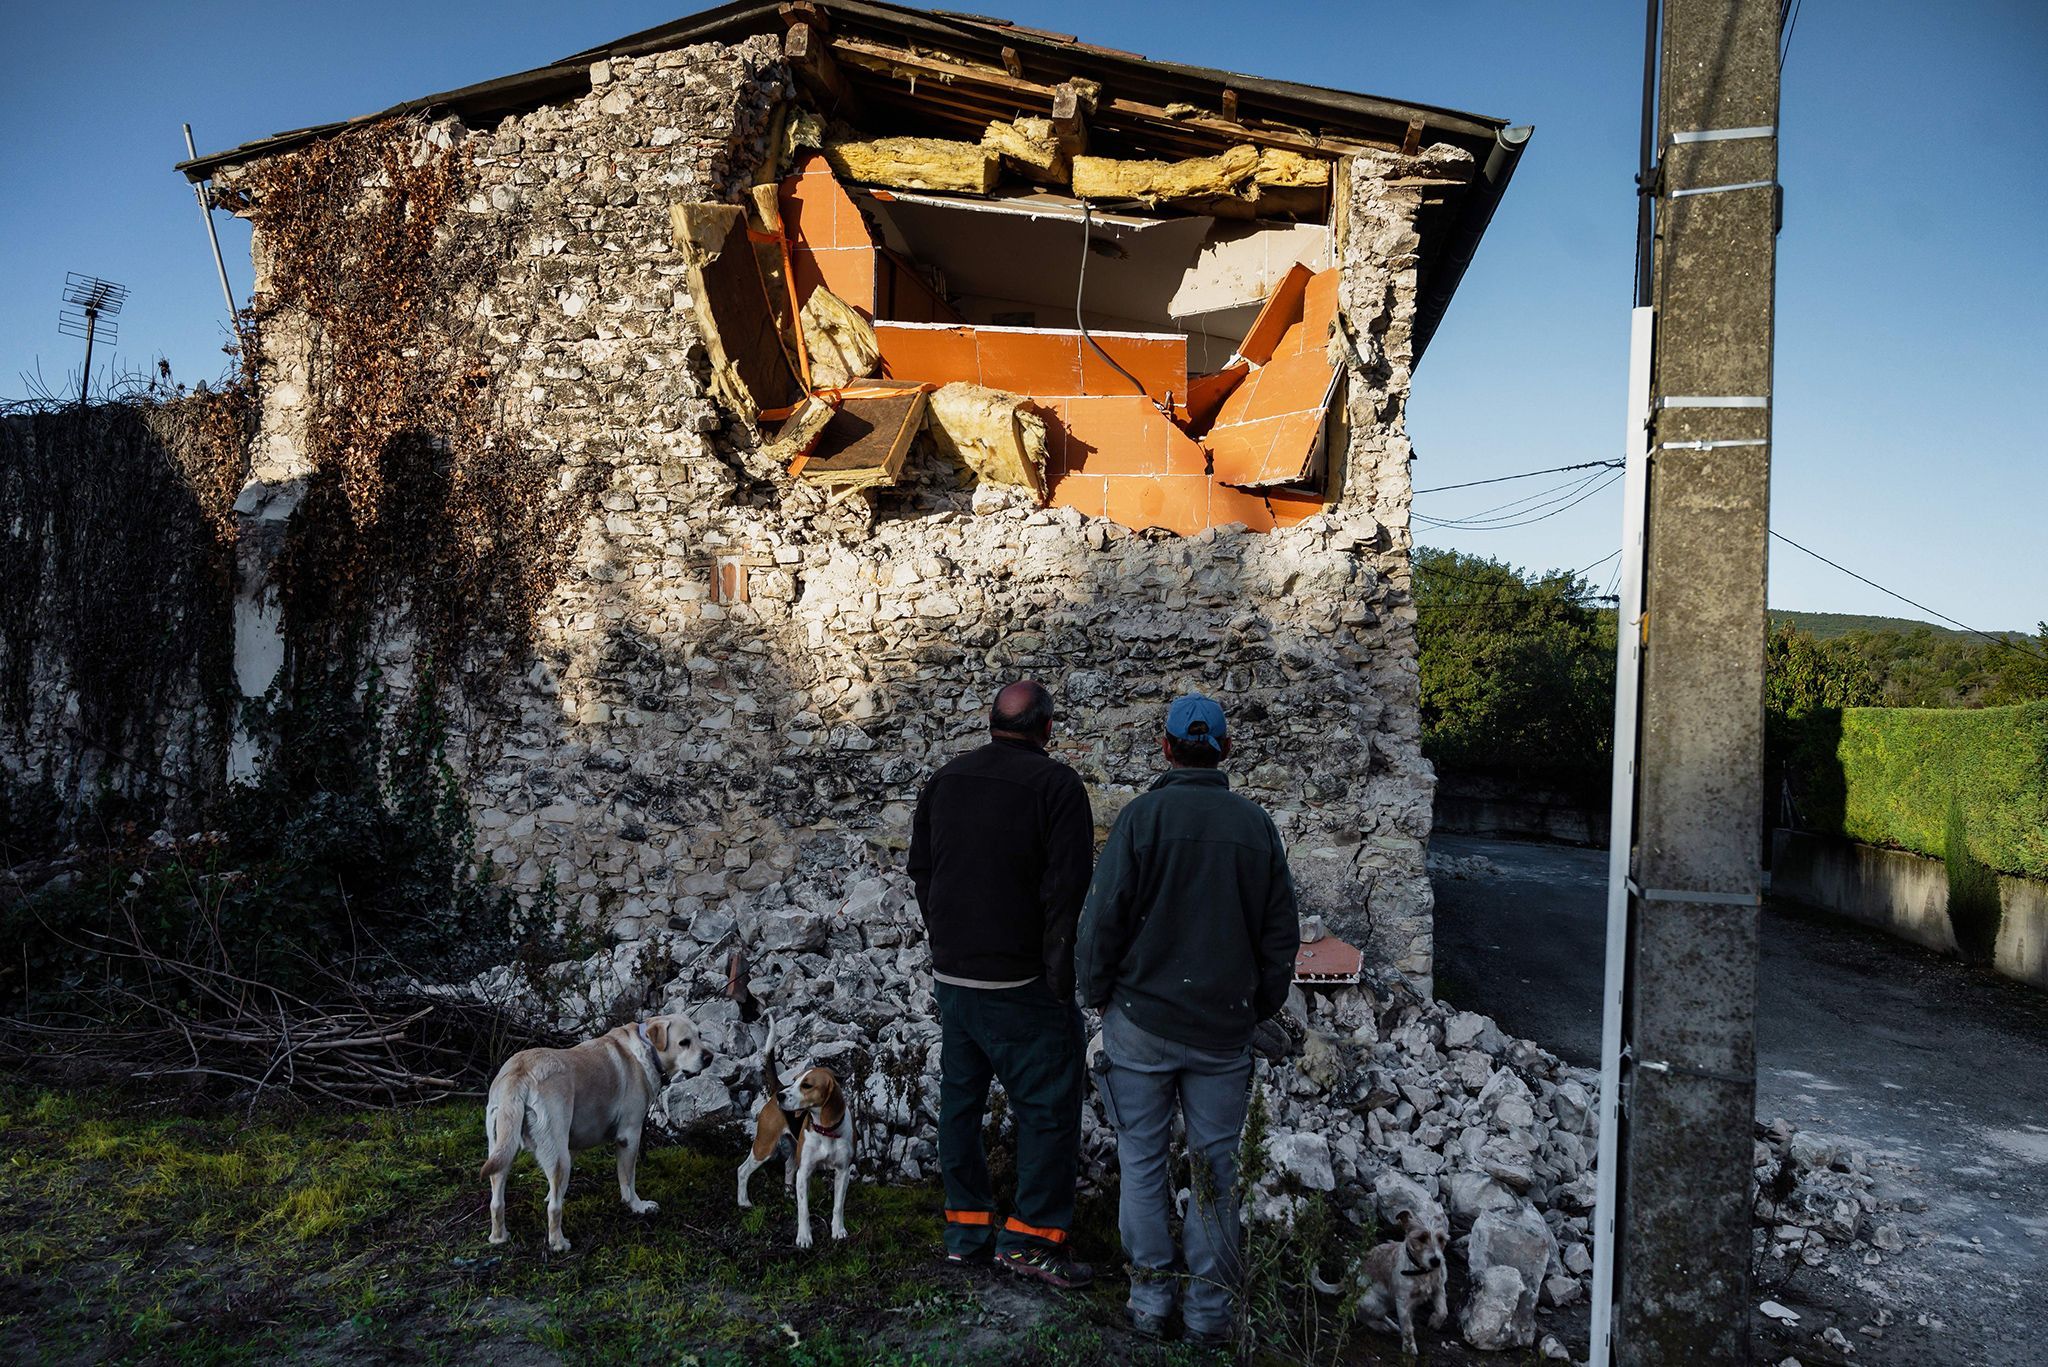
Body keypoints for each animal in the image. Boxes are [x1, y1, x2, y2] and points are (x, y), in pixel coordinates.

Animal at [481, 1016, 712, 1254]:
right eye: (684, 1042)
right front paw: (638, 1206)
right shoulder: (629, 1136)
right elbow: (628, 1181)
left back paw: (499, 1237)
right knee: (554, 1209)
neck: (648, 1049)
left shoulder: (571, 1143)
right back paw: (559, 1243)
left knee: (496, 1201)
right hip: (557, 1155)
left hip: (502, 1149)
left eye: (700, 1035)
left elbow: (557, 1189)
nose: (709, 1057)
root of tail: (520, 1073)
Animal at [737, 1016, 856, 1254]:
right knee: (742, 1170)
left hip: (793, 1149)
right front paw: (804, 1237)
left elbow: (838, 1206)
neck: (825, 1130)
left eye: (807, 1085)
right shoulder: (806, 1172)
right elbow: (804, 1210)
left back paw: (788, 1195)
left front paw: (838, 1231)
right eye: (795, 1080)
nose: (783, 1096)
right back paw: (743, 1202)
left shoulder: (843, 1172)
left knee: (788, 1166)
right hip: (764, 1146)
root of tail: (776, 1088)